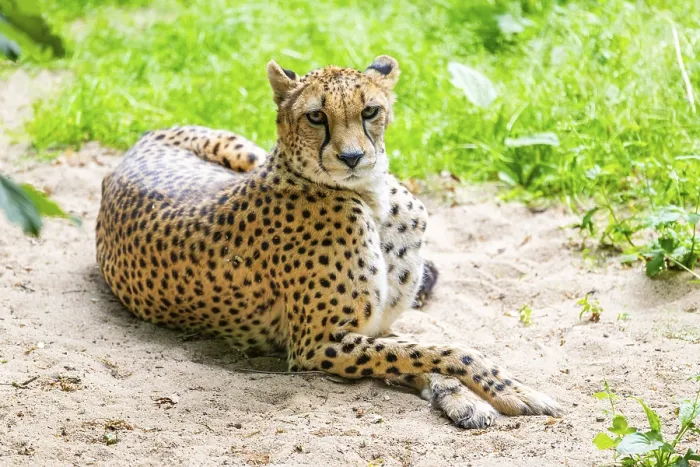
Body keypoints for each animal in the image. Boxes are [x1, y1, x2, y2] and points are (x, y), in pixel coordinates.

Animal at [95, 55, 561, 428]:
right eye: (316, 117)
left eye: (370, 110)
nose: (352, 157)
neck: (374, 198)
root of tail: (140, 140)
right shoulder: (320, 344)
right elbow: (444, 350)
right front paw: (510, 392)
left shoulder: (368, 330)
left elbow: (420, 350)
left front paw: (465, 398)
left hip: (244, 149)